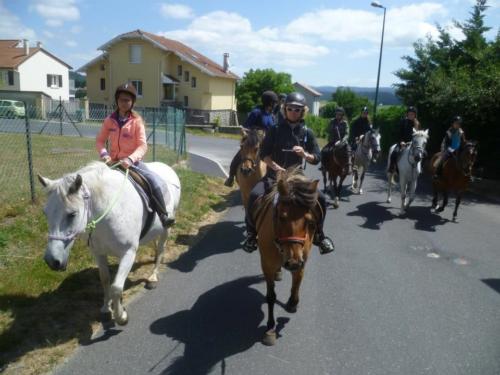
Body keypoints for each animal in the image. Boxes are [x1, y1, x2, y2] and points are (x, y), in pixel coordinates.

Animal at [39, 162, 181, 326]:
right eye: (45, 213)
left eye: (72, 214)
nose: (52, 261)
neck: (109, 211)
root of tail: (167, 168)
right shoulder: (99, 253)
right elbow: (105, 280)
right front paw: (106, 308)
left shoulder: (128, 253)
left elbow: (116, 287)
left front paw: (121, 316)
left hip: (166, 228)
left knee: (161, 249)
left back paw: (153, 277)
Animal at [254, 169, 320, 348]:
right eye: (281, 217)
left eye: (308, 220)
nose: (292, 262)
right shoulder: (267, 264)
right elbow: (271, 296)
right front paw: (270, 329)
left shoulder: (303, 260)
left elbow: (297, 283)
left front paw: (292, 304)